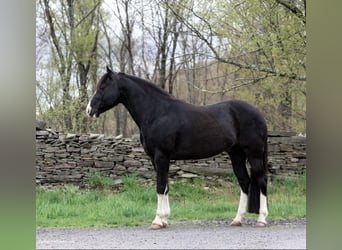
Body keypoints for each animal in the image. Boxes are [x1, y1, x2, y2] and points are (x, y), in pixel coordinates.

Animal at [87, 66, 268, 229]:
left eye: (103, 87)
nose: (89, 110)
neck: (157, 113)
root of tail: (258, 114)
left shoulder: (161, 156)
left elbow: (160, 186)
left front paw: (157, 221)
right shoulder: (155, 159)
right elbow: (166, 186)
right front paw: (165, 219)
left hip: (254, 153)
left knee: (261, 180)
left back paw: (261, 219)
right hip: (236, 154)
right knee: (244, 182)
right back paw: (237, 219)